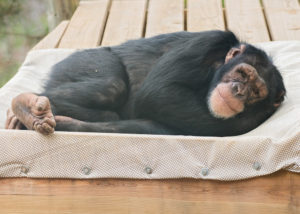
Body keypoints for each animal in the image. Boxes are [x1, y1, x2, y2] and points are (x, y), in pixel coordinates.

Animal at [4, 30, 286, 136]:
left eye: (256, 92)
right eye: (242, 74)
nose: (239, 90)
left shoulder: (249, 123)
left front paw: (67, 124)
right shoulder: (208, 41)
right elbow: (158, 93)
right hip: (83, 61)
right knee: (111, 84)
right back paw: (24, 105)